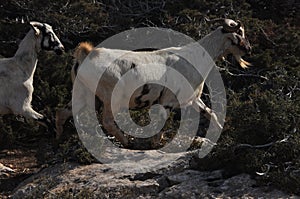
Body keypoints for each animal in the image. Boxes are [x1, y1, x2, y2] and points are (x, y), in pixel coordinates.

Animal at [55, 18, 251, 146]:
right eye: (239, 33)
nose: (248, 49)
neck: (195, 57)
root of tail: (87, 55)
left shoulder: (193, 99)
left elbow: (211, 114)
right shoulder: (168, 101)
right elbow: (161, 124)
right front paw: (157, 144)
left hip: (83, 94)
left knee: (63, 113)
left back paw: (59, 139)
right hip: (111, 97)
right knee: (108, 122)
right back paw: (127, 142)